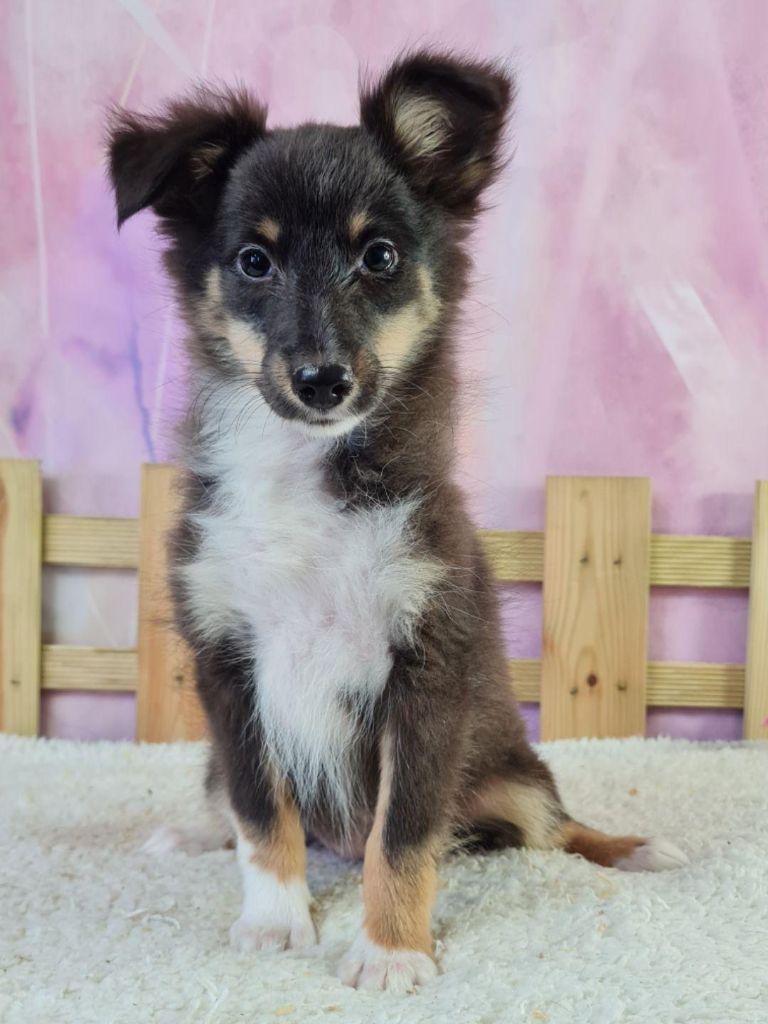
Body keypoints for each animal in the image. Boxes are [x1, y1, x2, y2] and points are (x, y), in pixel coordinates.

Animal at [109, 51, 692, 995]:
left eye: (378, 255)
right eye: (253, 260)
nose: (322, 381)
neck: (308, 472)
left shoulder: (427, 667)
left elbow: (405, 829)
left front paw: (389, 951)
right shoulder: (228, 661)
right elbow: (260, 809)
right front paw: (275, 922)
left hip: (512, 768)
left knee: (551, 824)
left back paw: (635, 847)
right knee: (227, 800)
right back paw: (192, 833)